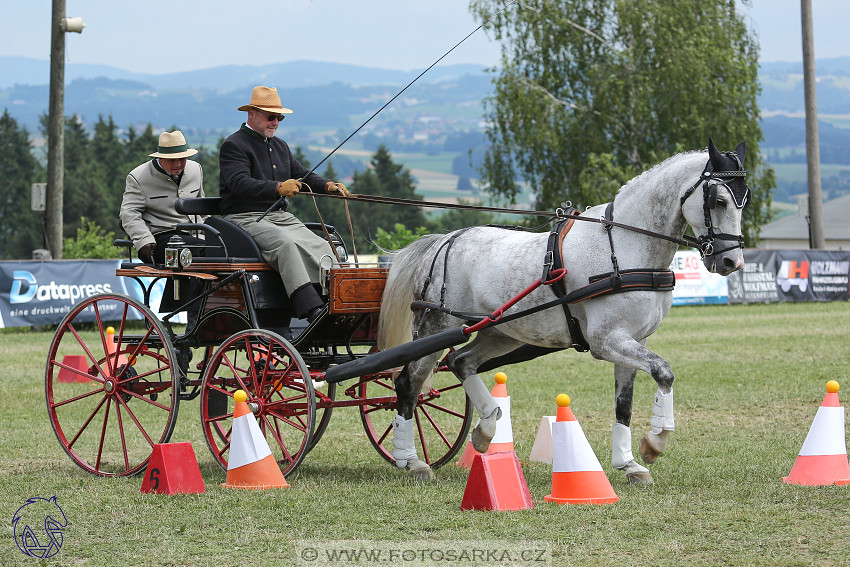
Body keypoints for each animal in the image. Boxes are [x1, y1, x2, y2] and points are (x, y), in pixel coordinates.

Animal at [380, 140, 748, 486]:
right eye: (718, 200)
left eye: (745, 198)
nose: (732, 261)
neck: (624, 247)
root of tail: (445, 240)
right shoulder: (606, 341)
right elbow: (664, 372)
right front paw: (654, 444)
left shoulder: (633, 340)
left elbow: (624, 404)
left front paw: (630, 464)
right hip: (437, 326)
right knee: (409, 383)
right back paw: (412, 460)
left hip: (500, 332)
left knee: (460, 362)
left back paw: (486, 429)